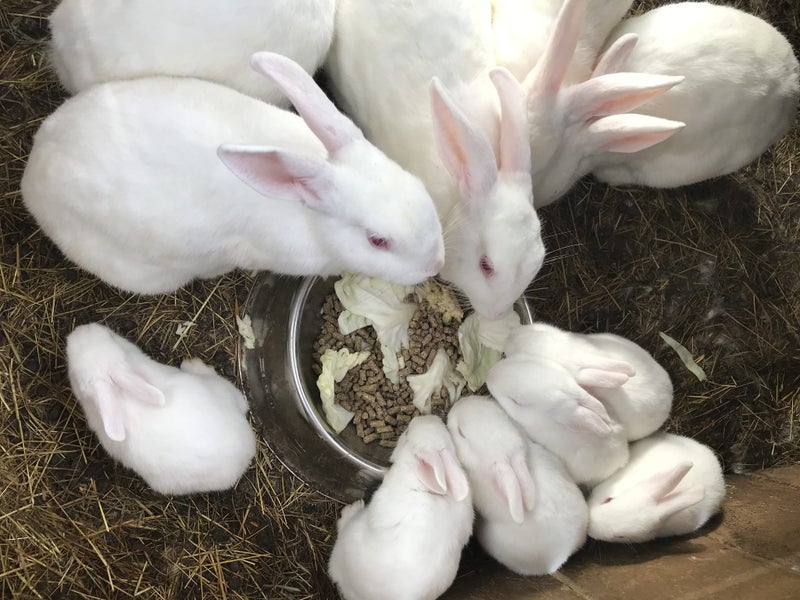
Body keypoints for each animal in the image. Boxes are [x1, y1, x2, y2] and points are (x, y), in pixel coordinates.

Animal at [327, 415, 473, 600]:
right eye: (445, 430)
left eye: (407, 433)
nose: (418, 418)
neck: (424, 484)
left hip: (348, 535)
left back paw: (352, 508)